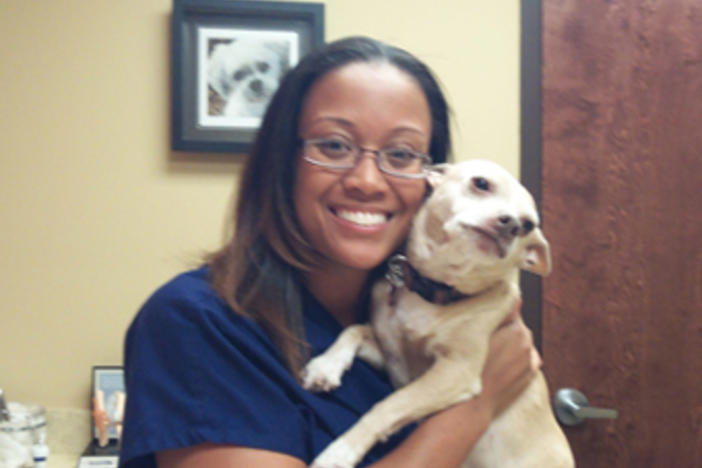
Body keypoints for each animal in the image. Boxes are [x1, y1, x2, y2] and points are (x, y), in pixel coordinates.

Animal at [306, 160, 576, 468]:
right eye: (481, 183)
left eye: (528, 225)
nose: (512, 224)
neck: (436, 288)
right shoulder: (394, 357)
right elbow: (356, 329)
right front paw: (325, 366)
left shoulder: (454, 371)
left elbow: (389, 406)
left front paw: (340, 452)